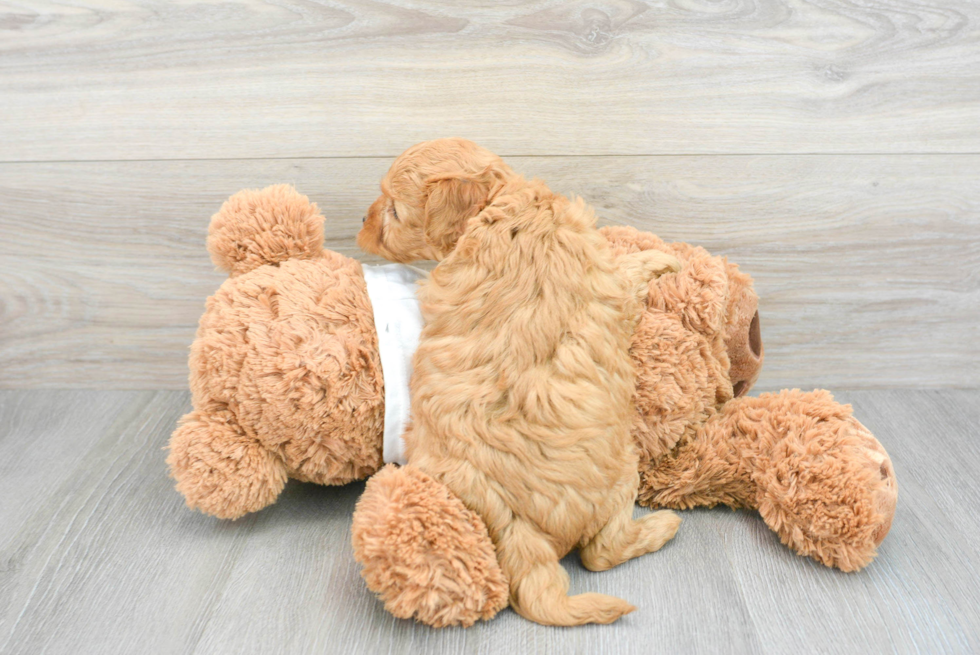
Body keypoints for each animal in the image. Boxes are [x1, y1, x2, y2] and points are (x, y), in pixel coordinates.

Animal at [358, 138, 680, 624]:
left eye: (393, 210)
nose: (361, 223)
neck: (498, 204)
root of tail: (514, 520)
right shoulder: (608, 280)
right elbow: (628, 270)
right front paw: (663, 258)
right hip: (624, 469)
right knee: (601, 552)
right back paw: (663, 526)